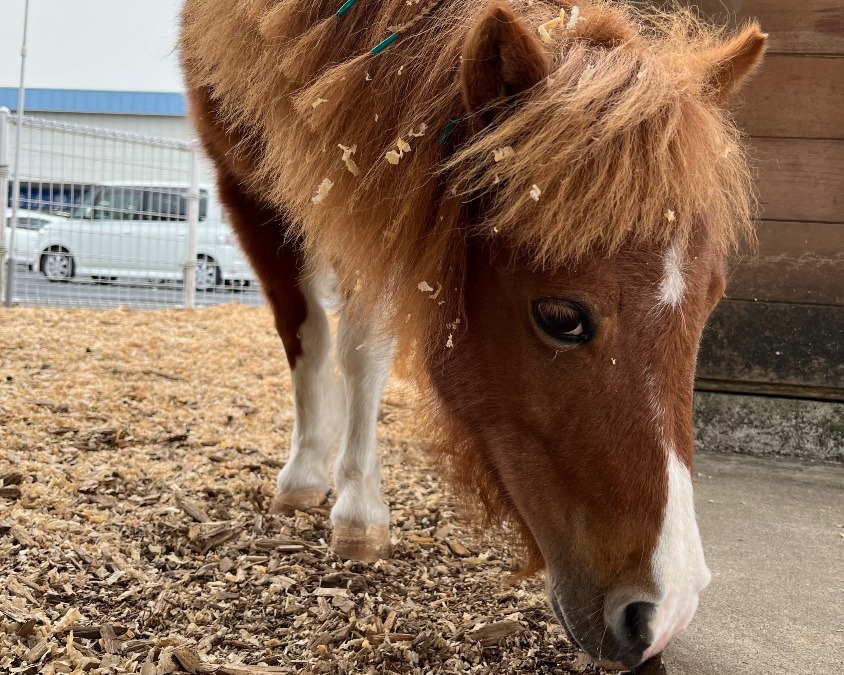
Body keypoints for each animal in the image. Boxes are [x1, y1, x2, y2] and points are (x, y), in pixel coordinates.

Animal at [178, 0, 764, 664]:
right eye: (560, 317)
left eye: (710, 302)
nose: (666, 613)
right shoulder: (245, 185)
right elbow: (307, 336)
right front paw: (313, 481)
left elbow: (364, 349)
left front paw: (357, 510)